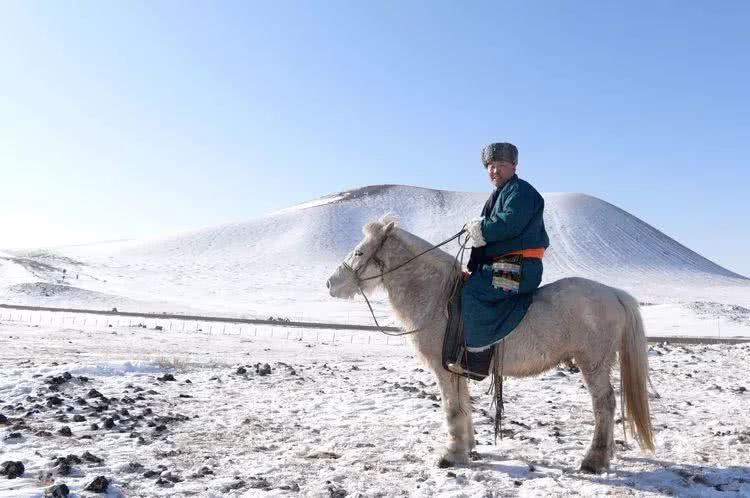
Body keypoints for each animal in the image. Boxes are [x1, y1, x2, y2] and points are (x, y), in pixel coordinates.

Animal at [326, 216, 656, 472]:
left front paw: (451, 455)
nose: (330, 283)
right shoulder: (456, 369)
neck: (437, 298)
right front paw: (468, 448)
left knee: (605, 404)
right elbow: (463, 406)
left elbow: (452, 409)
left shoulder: (443, 369)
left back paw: (593, 460)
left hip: (593, 363)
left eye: (359, 252)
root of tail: (614, 293)